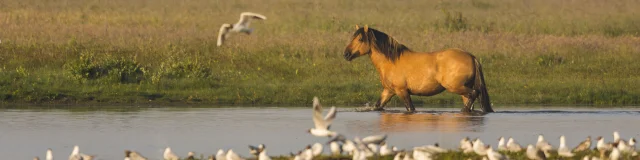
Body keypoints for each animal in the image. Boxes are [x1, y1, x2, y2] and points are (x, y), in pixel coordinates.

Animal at [340, 25, 496, 112]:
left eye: (360, 39)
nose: (346, 54)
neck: (391, 61)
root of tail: (471, 56)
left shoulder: (402, 91)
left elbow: (410, 108)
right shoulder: (388, 91)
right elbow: (378, 106)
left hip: (456, 87)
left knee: (474, 94)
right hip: (462, 89)